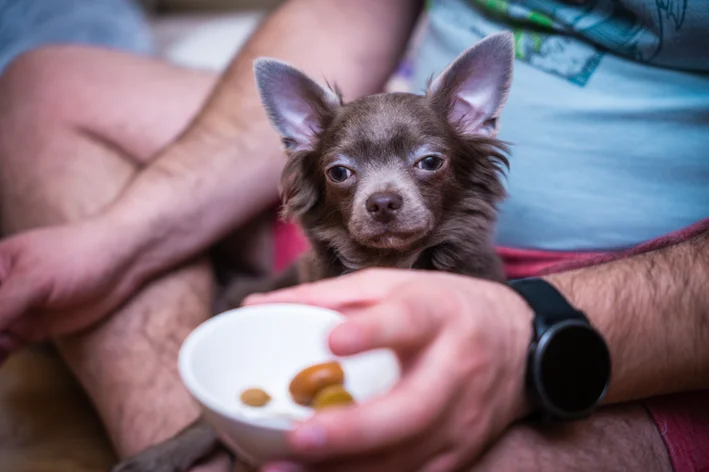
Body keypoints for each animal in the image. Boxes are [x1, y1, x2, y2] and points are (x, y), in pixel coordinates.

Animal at [110, 31, 516, 470]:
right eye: (339, 172)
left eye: (429, 162)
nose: (383, 202)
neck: (386, 263)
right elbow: (205, 421)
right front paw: (162, 453)